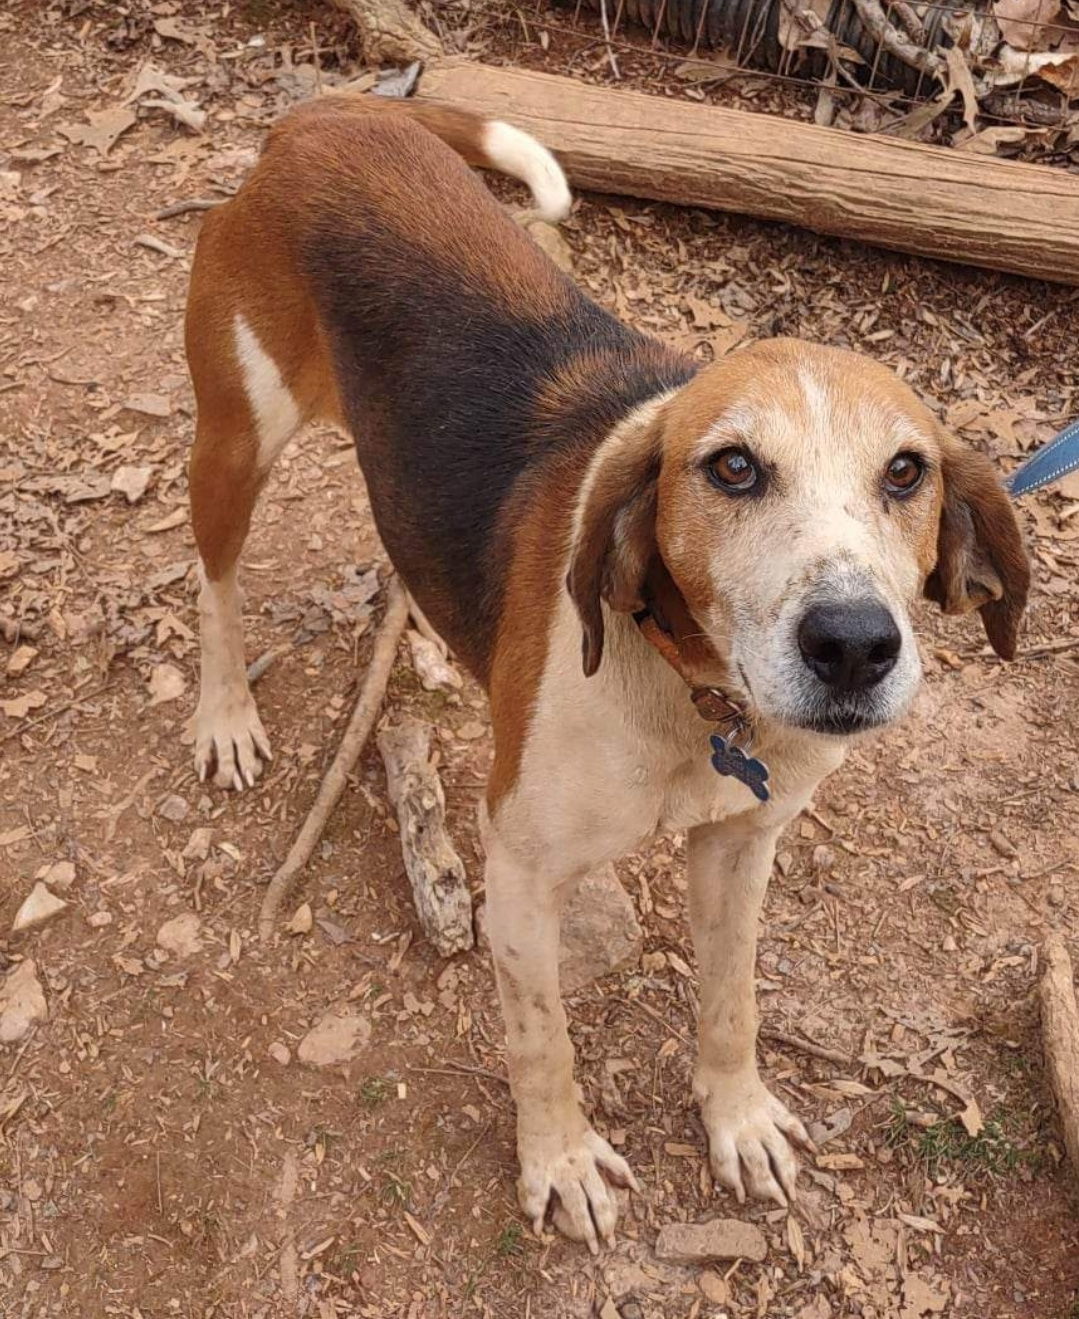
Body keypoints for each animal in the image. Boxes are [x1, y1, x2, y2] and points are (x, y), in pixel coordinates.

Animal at [183, 90, 1023, 1245]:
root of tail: (322, 122)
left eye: (906, 472)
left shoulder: (741, 845)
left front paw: (736, 1117)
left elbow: (730, 1002)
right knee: (214, 582)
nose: (852, 643)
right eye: (731, 467)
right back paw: (224, 711)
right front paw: (562, 1158)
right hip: (235, 435)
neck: (693, 691)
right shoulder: (517, 867)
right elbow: (543, 1038)